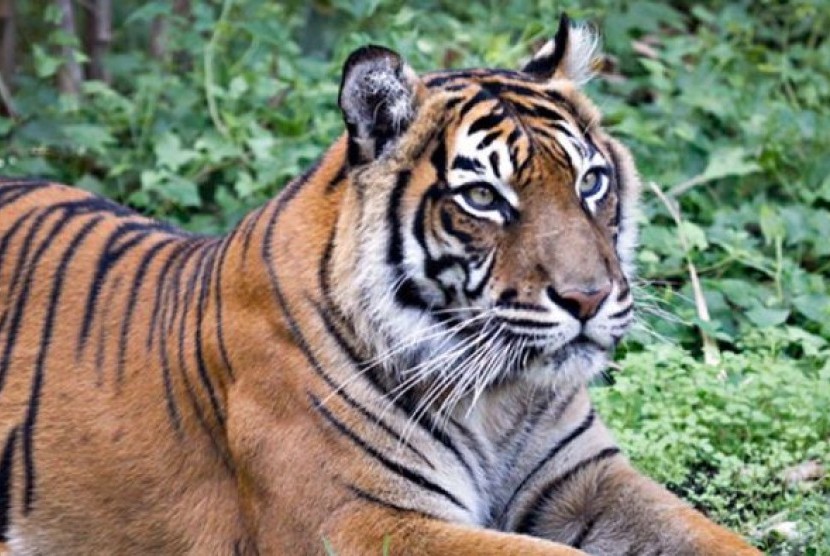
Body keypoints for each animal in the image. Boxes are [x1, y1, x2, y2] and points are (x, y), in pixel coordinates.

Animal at [0, 15, 764, 552]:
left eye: (591, 182)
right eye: (484, 198)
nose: (588, 298)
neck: (501, 399)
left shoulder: (587, 476)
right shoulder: (357, 516)